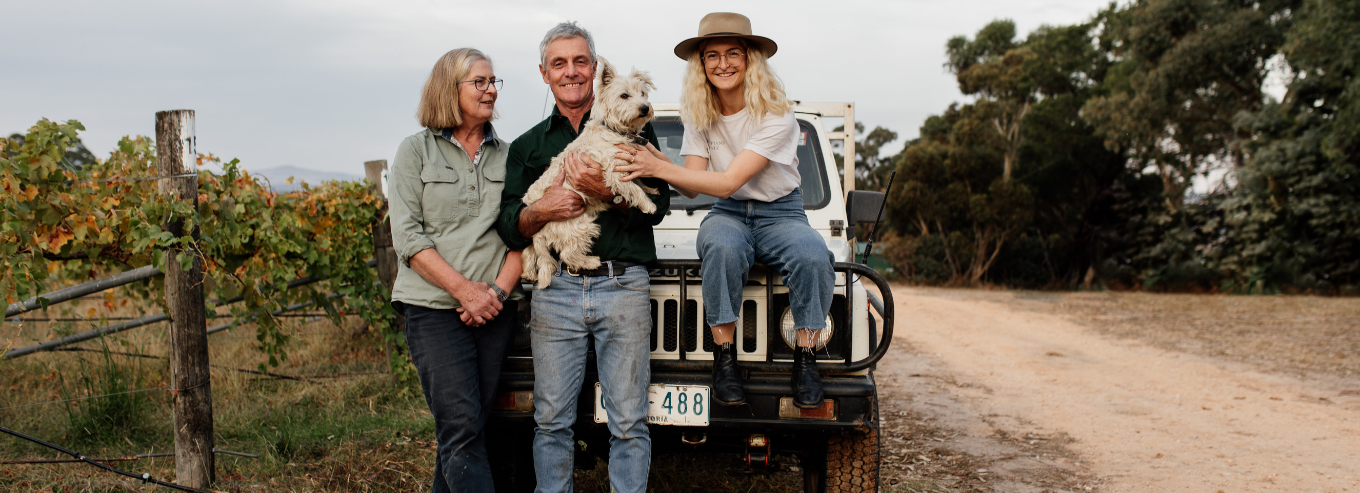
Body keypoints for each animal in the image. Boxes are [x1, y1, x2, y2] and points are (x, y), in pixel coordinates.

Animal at [519, 58, 658, 288]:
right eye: (624, 96)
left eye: (643, 93)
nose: (645, 107)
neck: (614, 129)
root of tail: (540, 231)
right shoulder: (613, 172)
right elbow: (632, 188)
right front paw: (648, 205)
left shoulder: (626, 163)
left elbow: (638, 181)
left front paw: (652, 190)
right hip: (581, 225)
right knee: (567, 254)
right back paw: (591, 262)